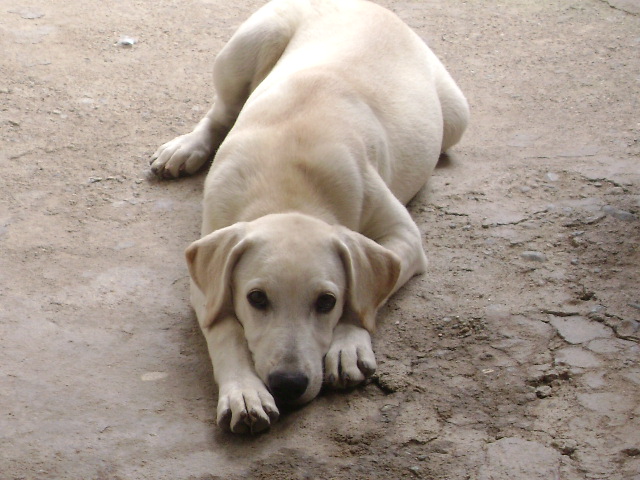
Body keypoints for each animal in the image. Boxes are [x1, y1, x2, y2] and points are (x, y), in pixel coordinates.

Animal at [151, 0, 470, 436]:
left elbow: (366, 293)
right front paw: (244, 392)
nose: (288, 385)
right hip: (246, 48)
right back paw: (186, 148)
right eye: (256, 298)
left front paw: (347, 346)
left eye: (326, 302)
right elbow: (225, 328)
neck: (288, 191)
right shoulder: (206, 273)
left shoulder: (402, 237)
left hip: (456, 117)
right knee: (220, 113)